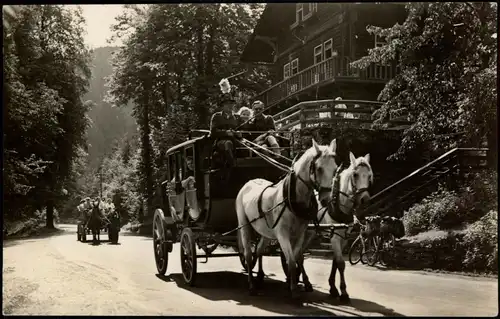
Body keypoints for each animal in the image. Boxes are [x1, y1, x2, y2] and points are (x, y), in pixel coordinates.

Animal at [235, 139, 338, 302]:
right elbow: (291, 261)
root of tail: (249, 182)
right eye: (319, 168)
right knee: (248, 254)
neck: (293, 199)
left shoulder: (300, 234)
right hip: (244, 225)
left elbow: (295, 258)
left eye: (335, 169)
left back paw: (260, 277)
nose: (326, 200)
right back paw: (251, 285)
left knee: (259, 250)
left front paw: (291, 283)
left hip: (265, 230)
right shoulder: (282, 234)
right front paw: (294, 291)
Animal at [318, 151, 374, 304]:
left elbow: (335, 263)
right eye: (355, 174)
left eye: (369, 175)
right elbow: (341, 263)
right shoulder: (335, 237)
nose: (365, 200)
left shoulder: (344, 238)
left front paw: (333, 288)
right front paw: (343, 292)